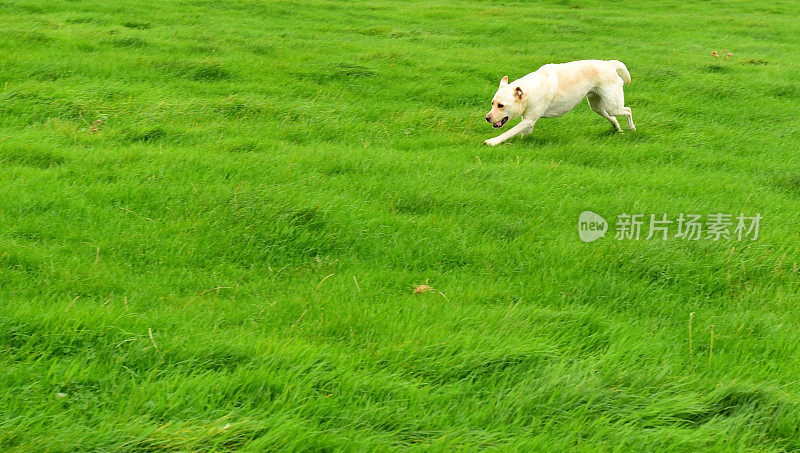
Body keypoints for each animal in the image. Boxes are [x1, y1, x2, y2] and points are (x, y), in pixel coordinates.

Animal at [484, 58, 636, 146]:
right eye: (492, 103)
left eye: (501, 105)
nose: (487, 118)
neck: (532, 89)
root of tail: (609, 64)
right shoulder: (527, 121)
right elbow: (522, 134)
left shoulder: (529, 120)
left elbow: (508, 132)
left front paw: (492, 142)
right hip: (597, 106)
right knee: (613, 118)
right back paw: (618, 129)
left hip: (612, 105)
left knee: (627, 110)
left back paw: (632, 128)